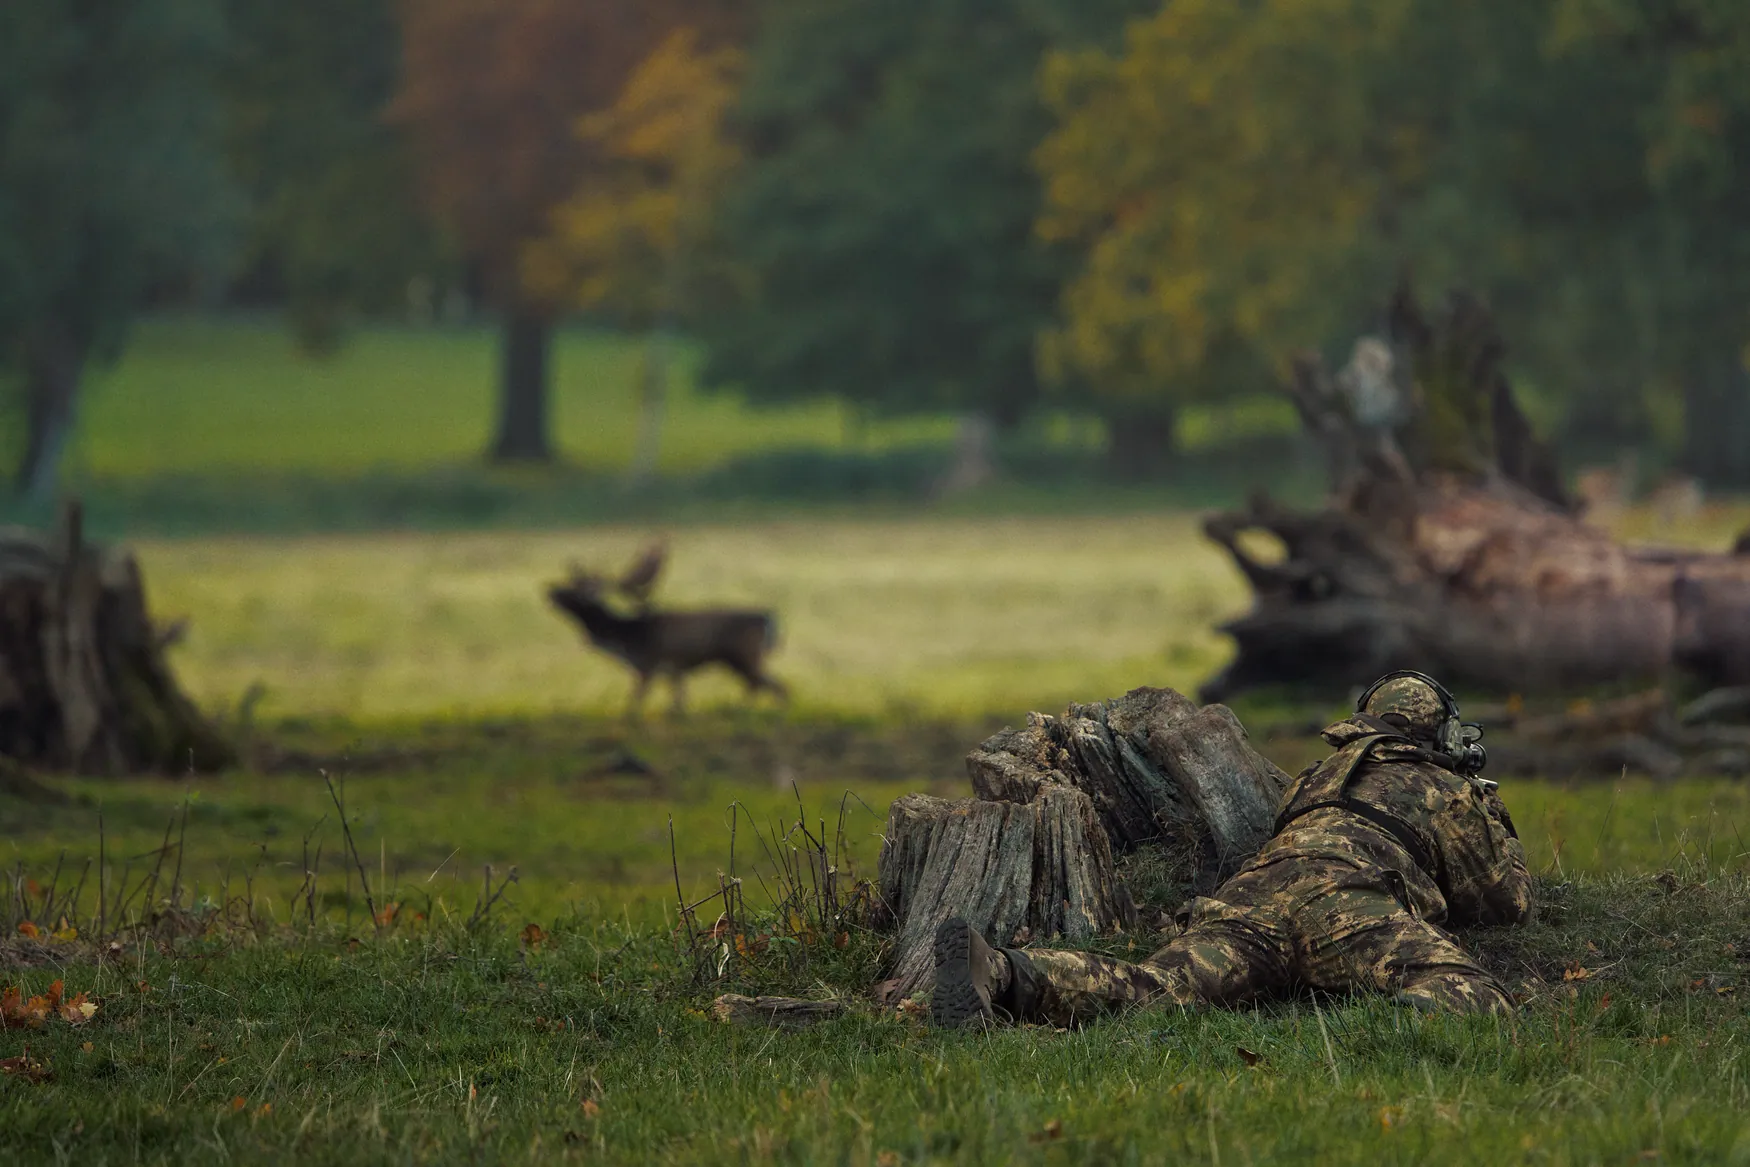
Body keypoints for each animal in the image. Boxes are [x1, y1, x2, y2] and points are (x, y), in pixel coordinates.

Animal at [546, 552, 787, 718]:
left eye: (575, 592)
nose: (550, 589)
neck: (625, 638)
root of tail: (769, 618)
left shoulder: (648, 663)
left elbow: (635, 701)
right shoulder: (674, 669)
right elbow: (677, 702)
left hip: (744, 655)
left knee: (771, 686)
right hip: (738, 660)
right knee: (767, 685)